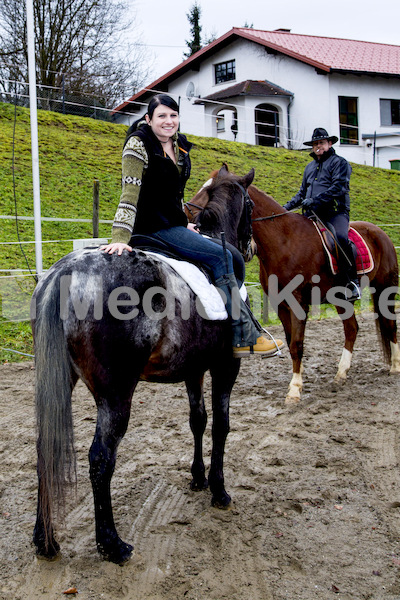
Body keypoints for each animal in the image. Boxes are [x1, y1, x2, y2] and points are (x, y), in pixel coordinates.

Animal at [32, 164, 255, 564]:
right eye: (251, 205)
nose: (252, 247)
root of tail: (64, 273)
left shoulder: (193, 369)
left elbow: (197, 420)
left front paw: (198, 477)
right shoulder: (225, 367)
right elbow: (221, 426)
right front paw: (218, 489)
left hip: (59, 382)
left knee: (46, 448)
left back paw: (45, 539)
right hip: (116, 394)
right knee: (101, 459)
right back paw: (111, 543)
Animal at [188, 166, 400, 406]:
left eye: (208, 192)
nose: (189, 213)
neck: (284, 241)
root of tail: (380, 233)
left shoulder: (298, 302)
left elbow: (297, 344)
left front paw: (295, 390)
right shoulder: (280, 304)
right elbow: (291, 343)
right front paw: (297, 380)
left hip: (385, 288)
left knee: (390, 324)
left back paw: (394, 366)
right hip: (340, 299)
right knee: (352, 329)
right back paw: (341, 373)